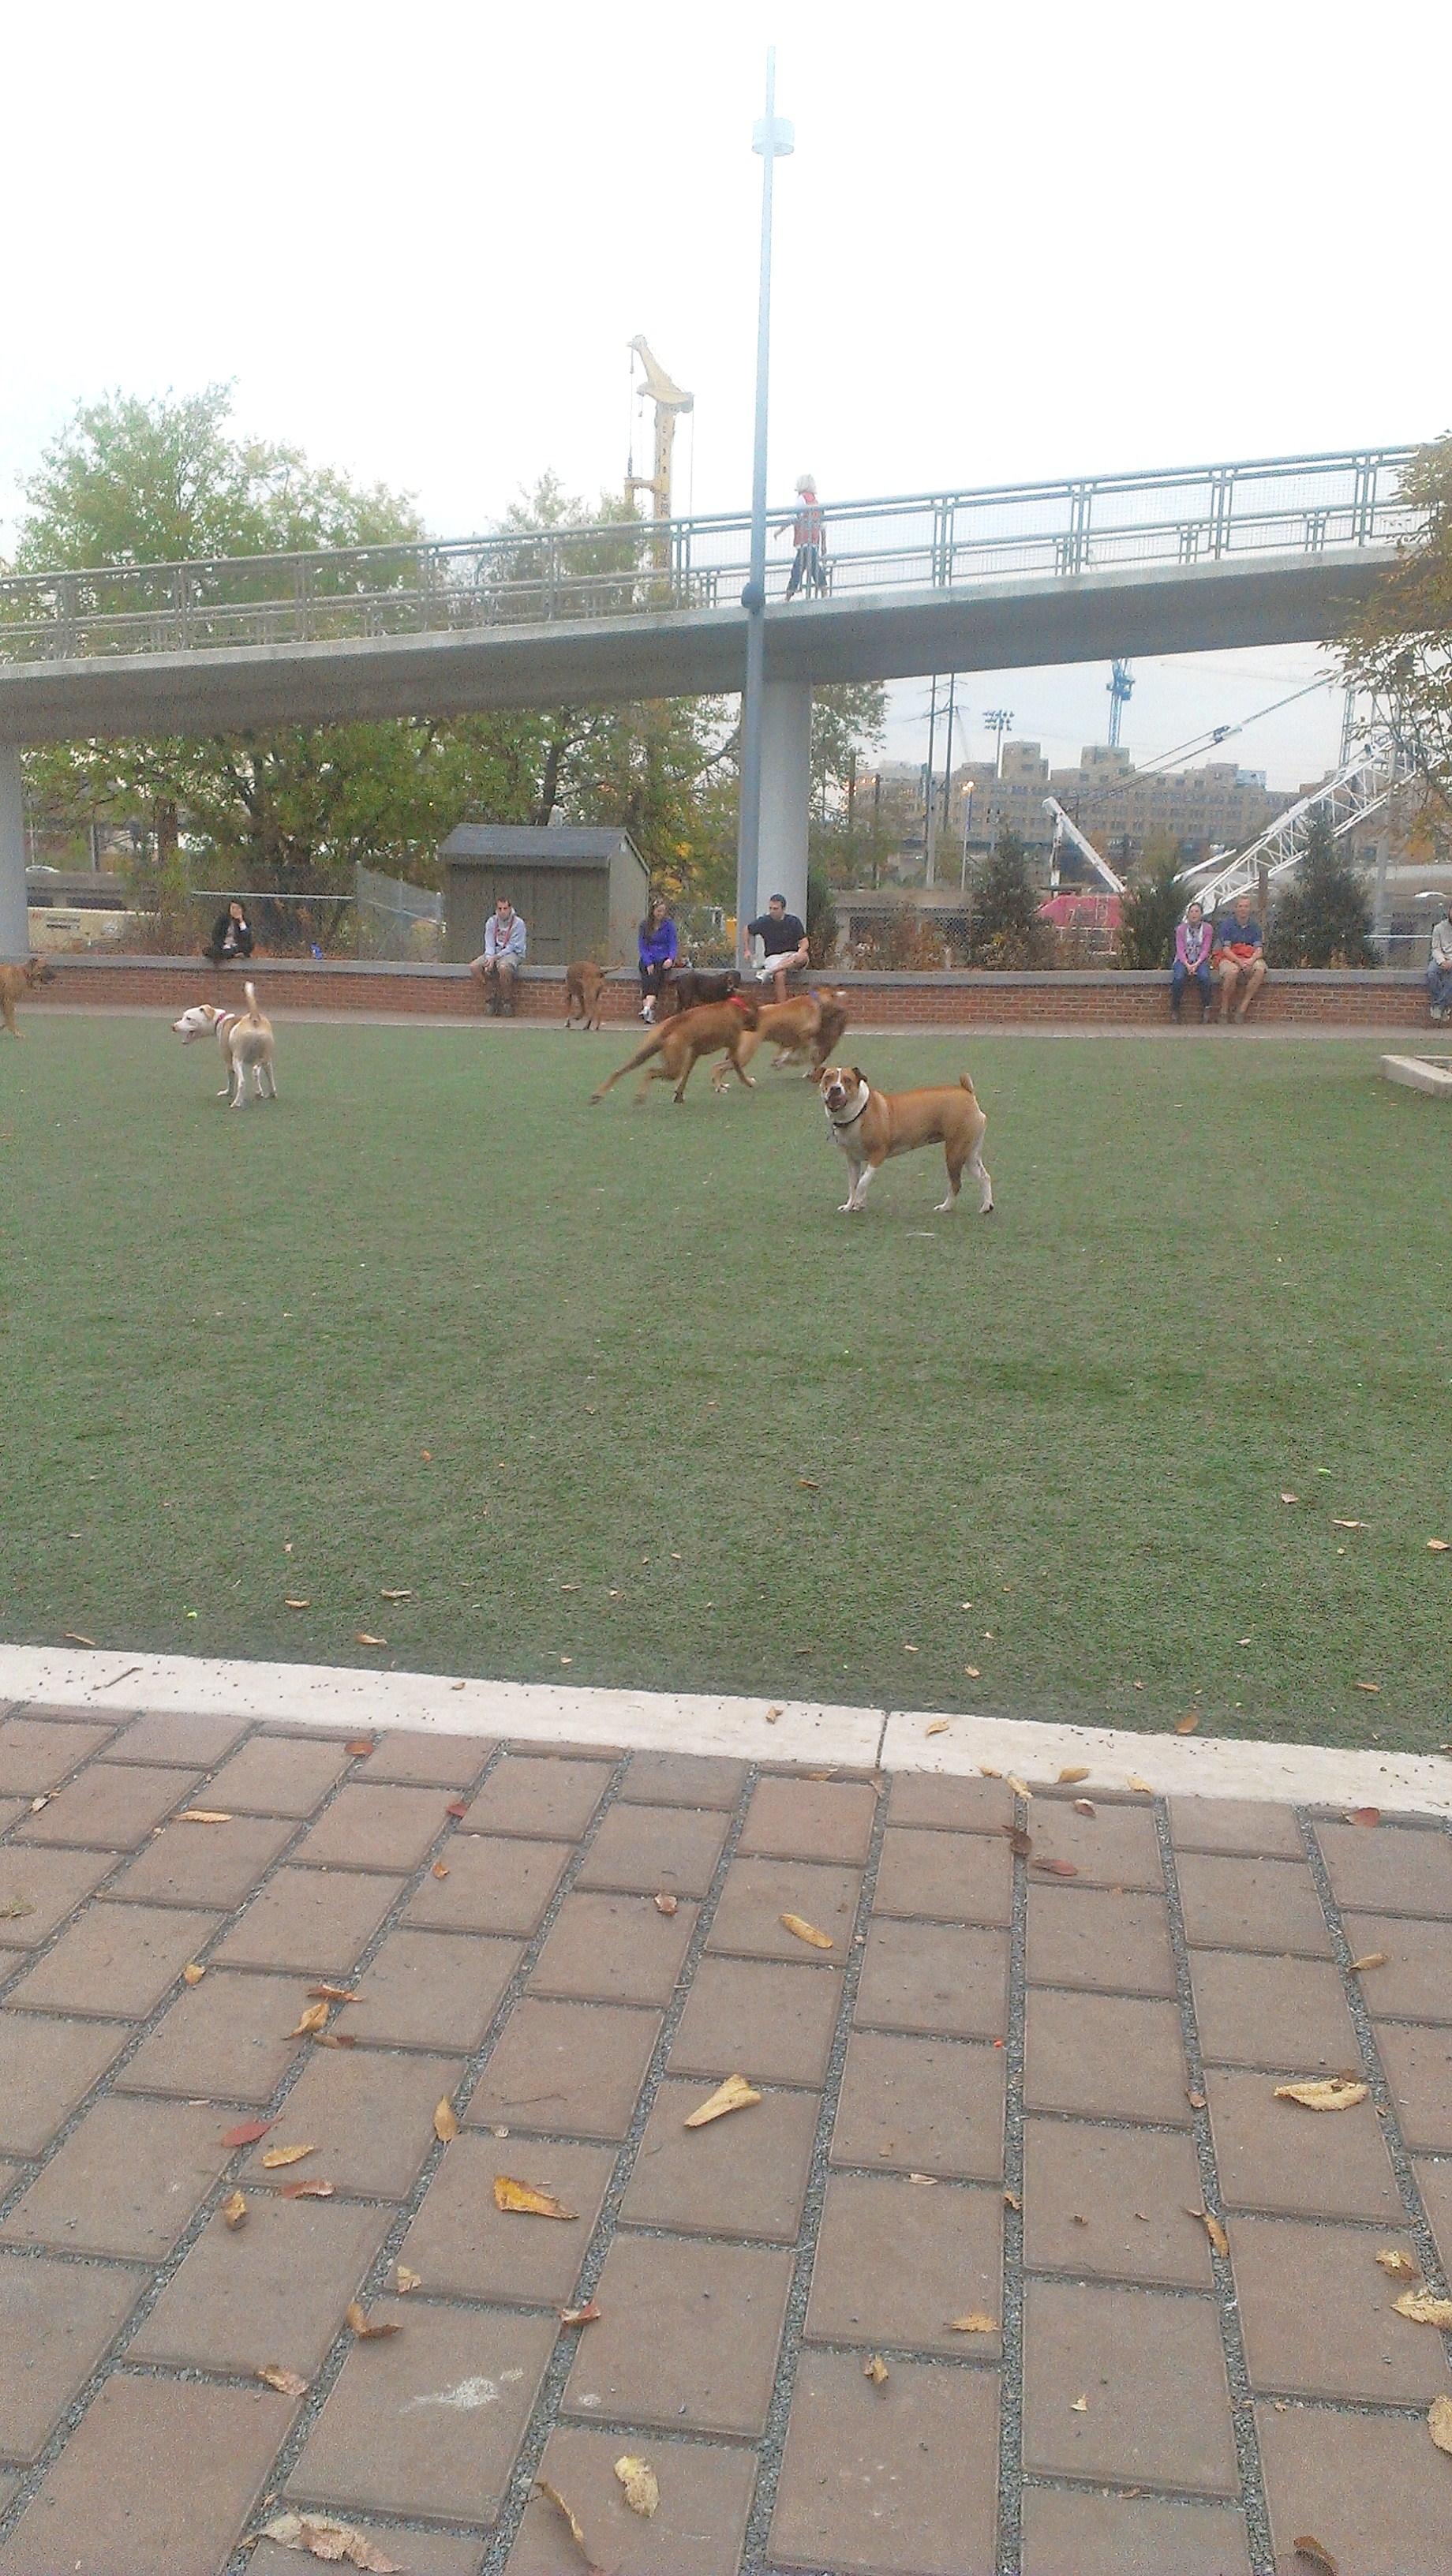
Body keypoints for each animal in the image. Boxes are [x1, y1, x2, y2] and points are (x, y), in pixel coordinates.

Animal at [170, 973, 279, 1107]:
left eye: (189, 1018)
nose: (173, 1027)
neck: (221, 1020)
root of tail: (254, 1018)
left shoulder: (228, 1061)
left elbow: (231, 1081)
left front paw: (227, 1093)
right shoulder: (264, 1062)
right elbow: (267, 1078)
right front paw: (264, 1093)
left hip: (237, 1059)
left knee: (242, 1081)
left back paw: (236, 1103)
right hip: (266, 1057)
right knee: (259, 1072)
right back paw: (266, 1093)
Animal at [589, 989, 767, 1102]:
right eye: (758, 1012)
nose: (759, 1025)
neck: (737, 1007)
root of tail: (671, 1025)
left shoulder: (694, 1054)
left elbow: (685, 1077)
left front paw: (679, 1095)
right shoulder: (734, 1049)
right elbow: (739, 1069)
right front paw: (748, 1082)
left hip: (644, 1053)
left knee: (619, 1071)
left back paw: (598, 1095)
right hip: (673, 1068)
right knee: (650, 1071)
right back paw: (640, 1096)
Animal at [736, 979, 849, 1071]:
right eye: (835, 997)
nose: (842, 1010)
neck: (816, 1000)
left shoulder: (793, 1041)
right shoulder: (803, 1037)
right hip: (748, 1050)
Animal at [823, 1071, 994, 1221]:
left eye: (847, 1080)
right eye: (827, 1078)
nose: (835, 1088)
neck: (859, 1112)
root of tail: (967, 1091)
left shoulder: (878, 1155)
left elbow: (862, 1182)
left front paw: (858, 1203)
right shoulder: (853, 1160)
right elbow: (853, 1185)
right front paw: (850, 1206)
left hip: (954, 1153)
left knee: (956, 1184)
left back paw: (945, 1207)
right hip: (970, 1154)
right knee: (984, 1177)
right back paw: (986, 1207)